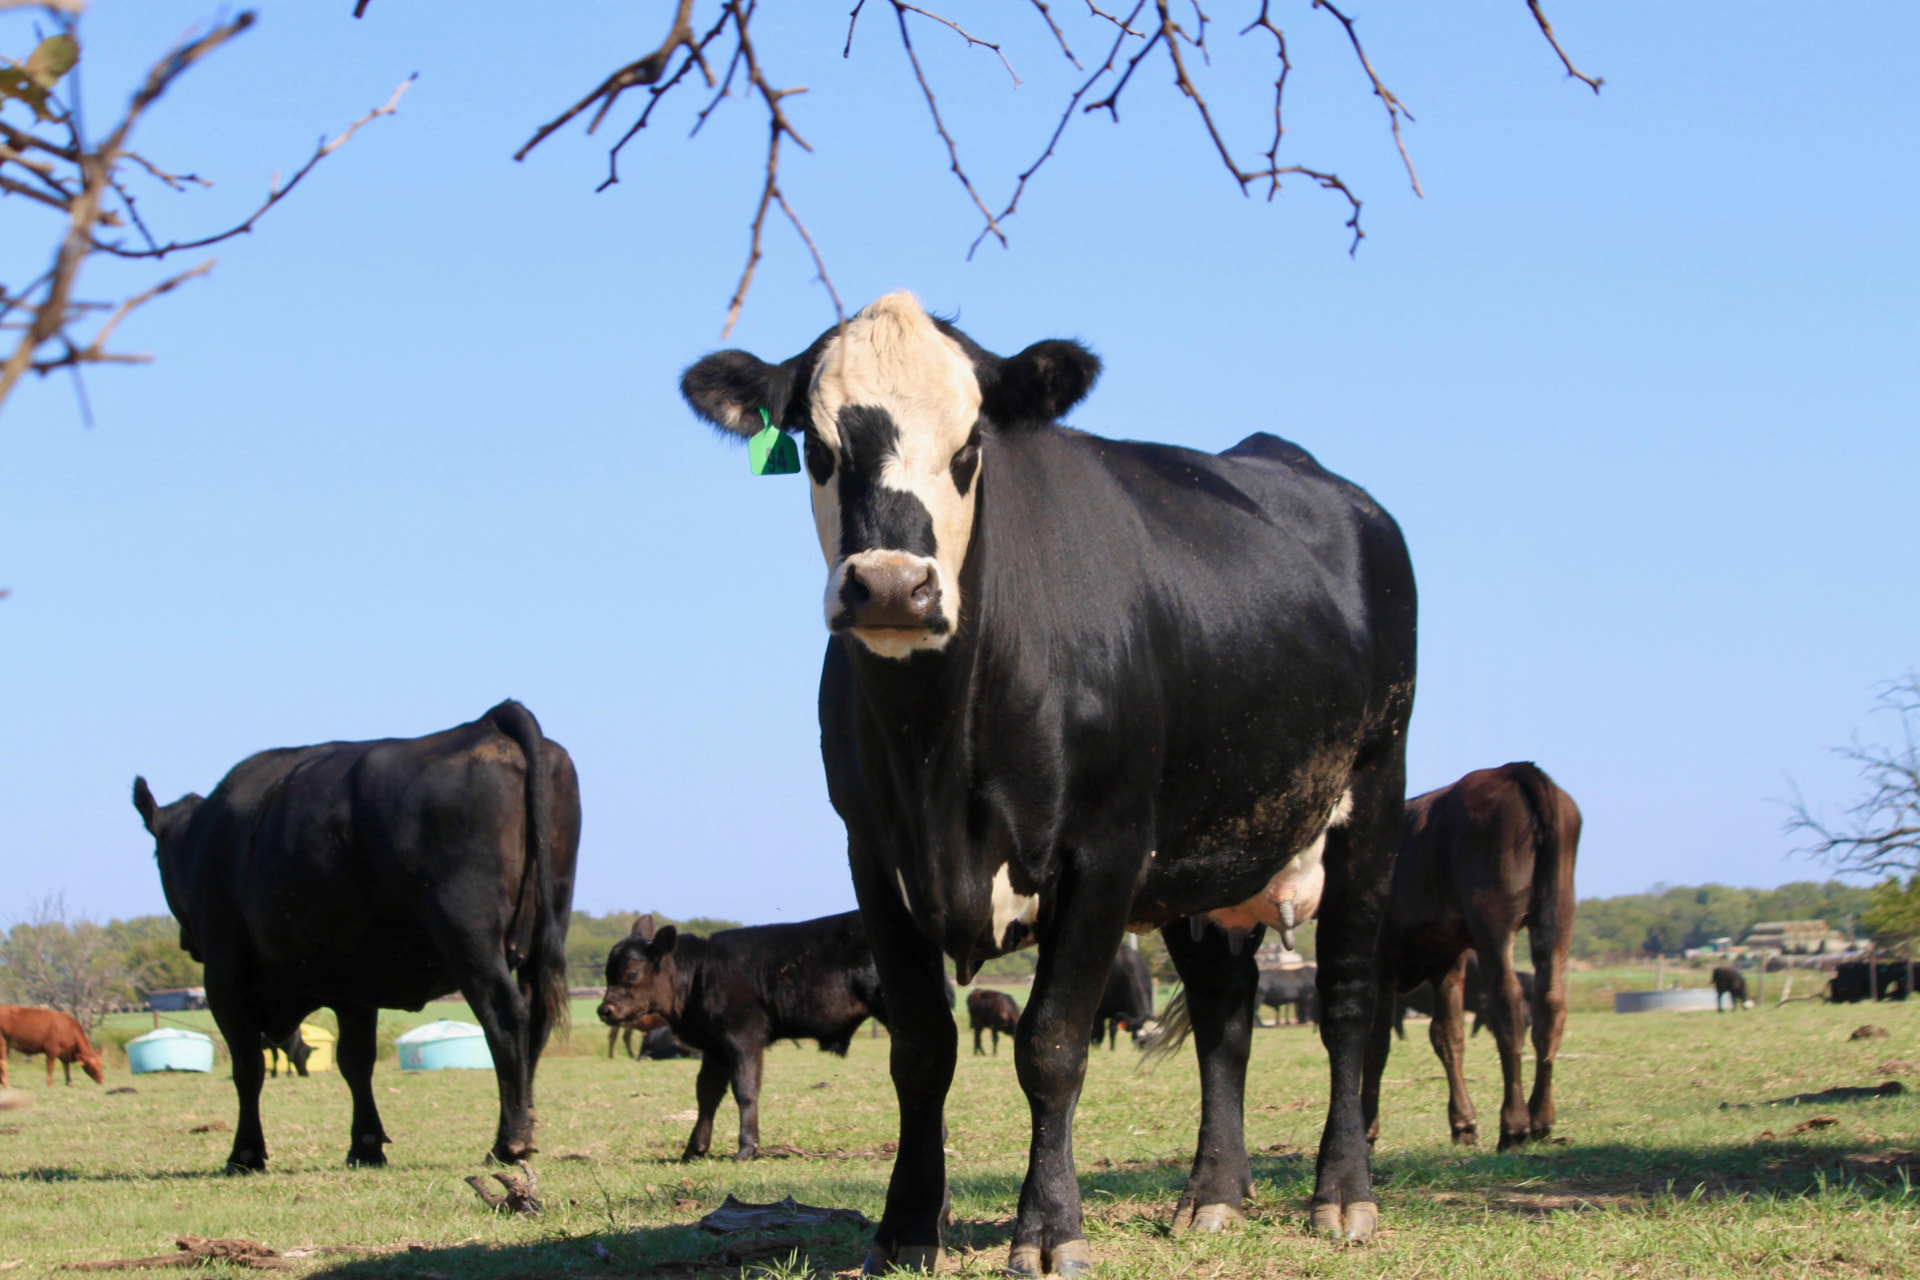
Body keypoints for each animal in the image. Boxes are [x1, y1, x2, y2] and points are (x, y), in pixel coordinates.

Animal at [131, 699, 579, 1172]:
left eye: (159, 857)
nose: (185, 941)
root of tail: (488, 722)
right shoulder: (354, 979)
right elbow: (355, 1060)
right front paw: (366, 1145)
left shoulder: (225, 975)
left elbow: (247, 1066)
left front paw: (245, 1153)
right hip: (549, 921)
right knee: (537, 1016)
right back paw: (521, 1127)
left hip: (468, 933)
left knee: (505, 1016)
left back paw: (509, 1142)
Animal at [597, 912, 888, 1162]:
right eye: (608, 973)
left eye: (632, 973)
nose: (604, 1010)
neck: (698, 975)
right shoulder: (714, 1047)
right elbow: (707, 1093)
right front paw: (694, 1150)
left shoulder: (743, 1036)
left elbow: (745, 1089)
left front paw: (746, 1148)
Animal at [678, 291, 1417, 1269]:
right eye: (819, 448)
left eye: (969, 447)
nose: (891, 587)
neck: (938, 750)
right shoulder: (873, 855)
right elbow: (921, 1048)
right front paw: (905, 1229)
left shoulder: (1105, 852)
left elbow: (1053, 1044)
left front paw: (1049, 1230)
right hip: (1205, 861)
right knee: (1225, 1013)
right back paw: (1213, 1196)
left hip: (1372, 797)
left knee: (1346, 1004)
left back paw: (1341, 1196)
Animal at [1362, 763, 1580, 1152]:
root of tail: (1513, 771)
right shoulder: (1449, 960)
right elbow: (1448, 1036)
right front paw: (1463, 1124)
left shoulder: (1380, 960)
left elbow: (1376, 1043)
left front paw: (1366, 1130)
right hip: (1557, 915)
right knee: (1550, 1004)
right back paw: (1541, 1118)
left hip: (1492, 918)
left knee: (1507, 1004)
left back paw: (1514, 1126)